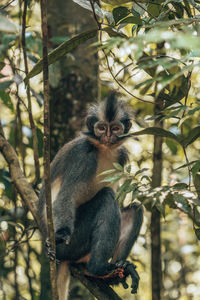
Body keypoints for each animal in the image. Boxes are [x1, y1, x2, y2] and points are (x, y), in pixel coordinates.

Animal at [38, 92, 144, 300]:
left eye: (115, 128)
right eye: (102, 128)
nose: (108, 136)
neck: (103, 149)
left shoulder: (121, 155)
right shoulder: (83, 155)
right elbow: (66, 196)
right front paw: (61, 234)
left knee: (135, 208)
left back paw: (115, 272)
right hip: (72, 245)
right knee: (106, 197)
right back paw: (98, 268)